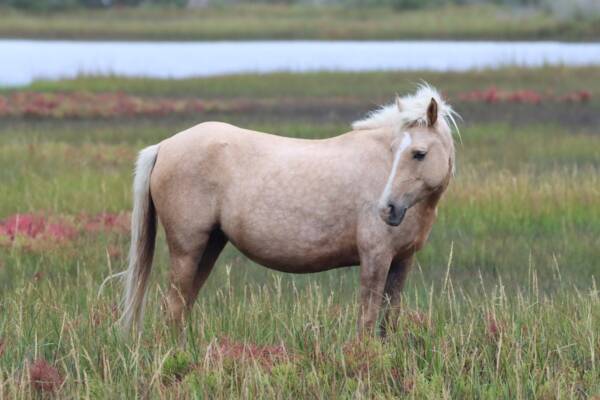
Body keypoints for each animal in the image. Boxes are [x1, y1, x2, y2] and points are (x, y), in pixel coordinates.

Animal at [117, 86, 458, 336]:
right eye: (396, 150)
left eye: (418, 153)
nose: (387, 209)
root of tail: (163, 146)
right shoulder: (375, 258)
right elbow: (368, 320)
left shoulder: (401, 261)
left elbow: (389, 322)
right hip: (187, 248)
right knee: (174, 308)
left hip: (210, 245)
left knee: (182, 306)